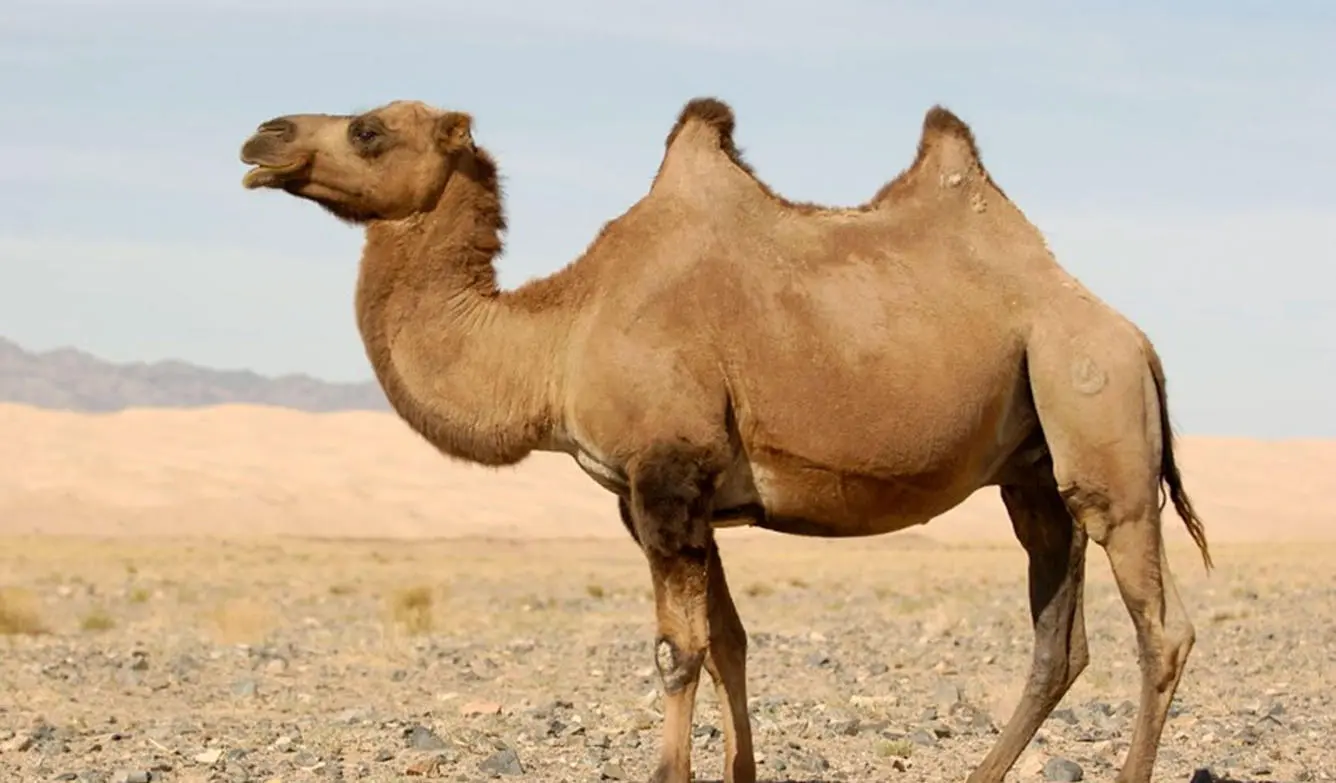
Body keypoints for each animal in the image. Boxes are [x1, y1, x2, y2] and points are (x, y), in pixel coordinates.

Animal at [237, 96, 1212, 783]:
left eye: (367, 129)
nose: (259, 138)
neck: (558, 337)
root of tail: (1134, 336)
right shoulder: (669, 499)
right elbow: (729, 641)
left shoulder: (667, 479)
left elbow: (680, 651)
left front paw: (667, 772)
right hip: (1033, 465)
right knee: (1058, 635)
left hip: (1095, 406)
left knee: (1159, 624)